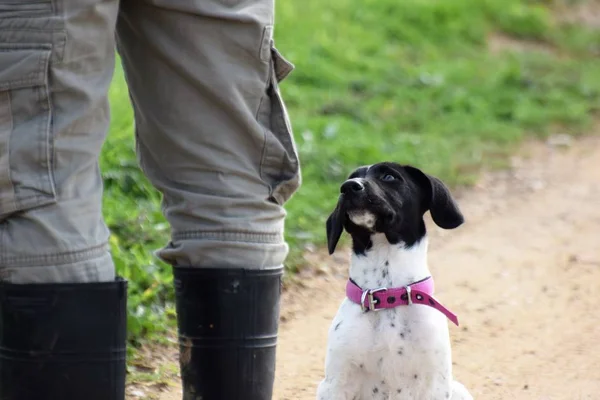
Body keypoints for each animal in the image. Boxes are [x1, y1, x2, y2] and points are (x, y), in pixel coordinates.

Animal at [316, 162, 472, 400]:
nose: (348, 186)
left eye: (389, 176)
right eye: (352, 177)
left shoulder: (435, 385)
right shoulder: (334, 385)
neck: (388, 296)